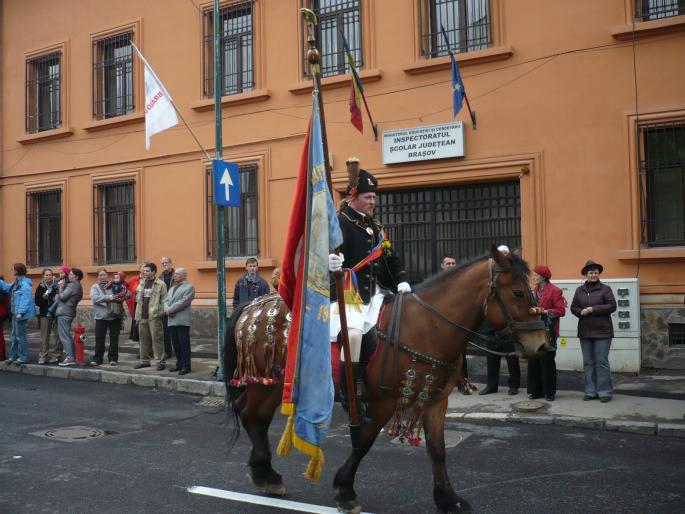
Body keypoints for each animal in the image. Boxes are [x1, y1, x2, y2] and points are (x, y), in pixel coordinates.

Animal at [224, 246, 544, 510]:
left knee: (256, 416)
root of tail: (252, 305)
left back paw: (265, 474)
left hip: (275, 384)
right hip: (266, 382)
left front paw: (448, 499)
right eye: (517, 293)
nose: (541, 345)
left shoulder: (435, 401)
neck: (427, 325)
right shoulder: (383, 400)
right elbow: (363, 442)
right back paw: (266, 474)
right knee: (250, 413)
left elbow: (437, 450)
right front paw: (345, 490)